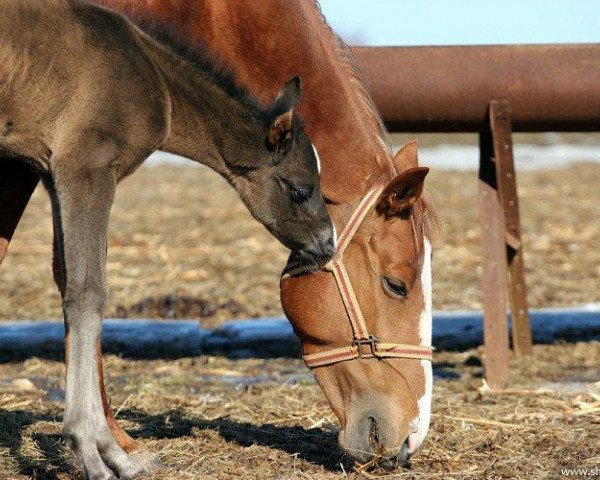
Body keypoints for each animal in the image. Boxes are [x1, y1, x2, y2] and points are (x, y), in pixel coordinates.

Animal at [1, 0, 440, 474]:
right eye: (396, 284)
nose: (408, 439)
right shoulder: (82, 164)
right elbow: (86, 291)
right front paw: (103, 450)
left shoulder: (52, 170)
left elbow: (70, 280)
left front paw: (112, 446)